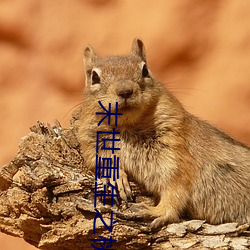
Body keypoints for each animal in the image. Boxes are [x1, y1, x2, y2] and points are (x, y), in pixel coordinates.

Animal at [77, 38, 249, 229]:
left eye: (145, 70)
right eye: (94, 77)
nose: (125, 91)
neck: (127, 127)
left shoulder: (175, 154)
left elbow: (175, 189)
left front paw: (156, 211)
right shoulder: (91, 142)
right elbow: (97, 160)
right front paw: (115, 177)